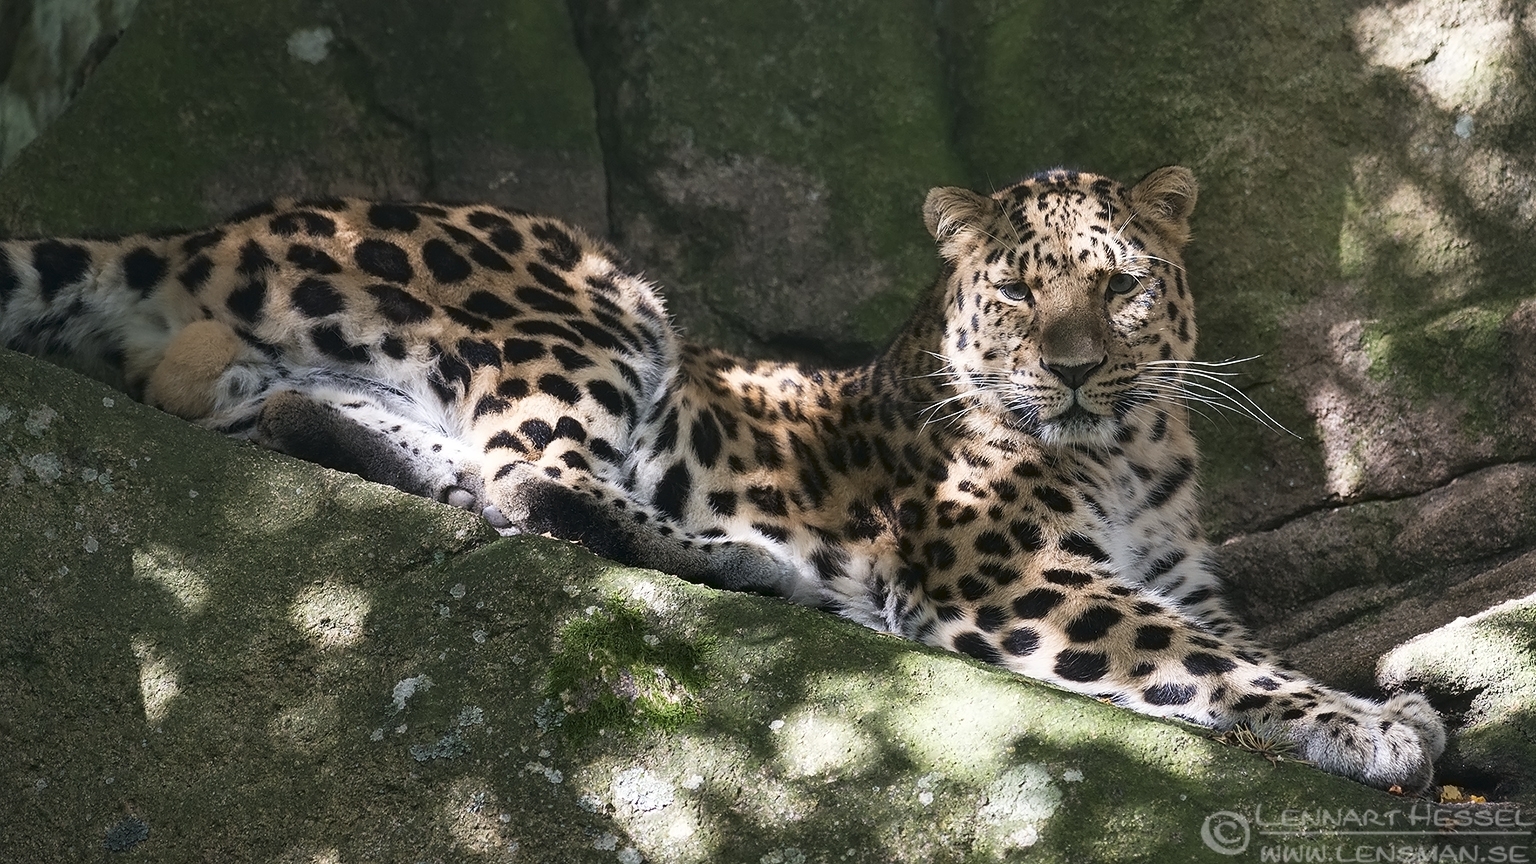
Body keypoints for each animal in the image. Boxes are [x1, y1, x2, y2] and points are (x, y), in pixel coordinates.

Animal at [0, 165, 1445, 793]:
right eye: (1022, 296)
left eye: (1125, 285)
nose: (1079, 369)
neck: (1132, 446)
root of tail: (209, 228)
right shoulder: (1015, 573)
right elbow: (1202, 660)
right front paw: (1370, 722)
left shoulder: (1180, 580)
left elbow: (1224, 640)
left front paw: (1359, 704)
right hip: (584, 297)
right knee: (533, 480)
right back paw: (766, 565)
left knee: (307, 418)